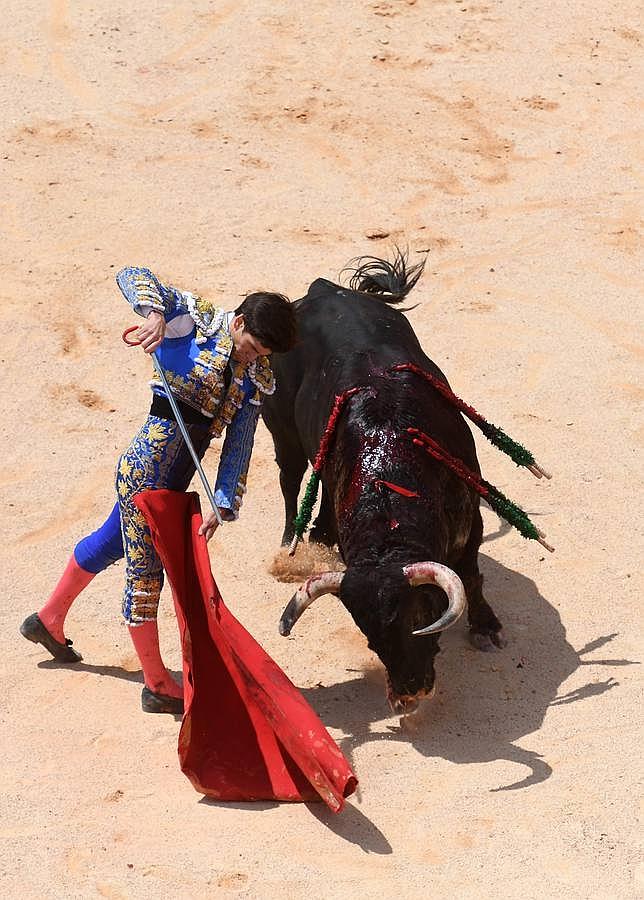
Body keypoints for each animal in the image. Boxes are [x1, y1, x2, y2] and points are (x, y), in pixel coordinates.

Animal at [262, 251, 508, 712]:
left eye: (420, 615)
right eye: (368, 634)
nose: (408, 694)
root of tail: (324, 289)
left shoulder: (471, 523)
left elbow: (471, 574)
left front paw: (486, 627)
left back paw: (318, 535)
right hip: (281, 427)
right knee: (291, 479)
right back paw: (290, 546)